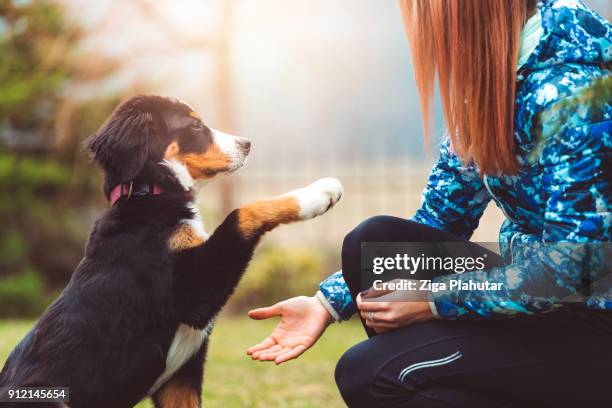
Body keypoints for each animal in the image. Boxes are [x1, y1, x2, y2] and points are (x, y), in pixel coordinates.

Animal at [0, 96, 344, 408]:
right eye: (194, 125)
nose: (247, 143)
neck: (147, 195)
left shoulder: (181, 377)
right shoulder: (192, 293)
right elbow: (242, 212)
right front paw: (317, 194)